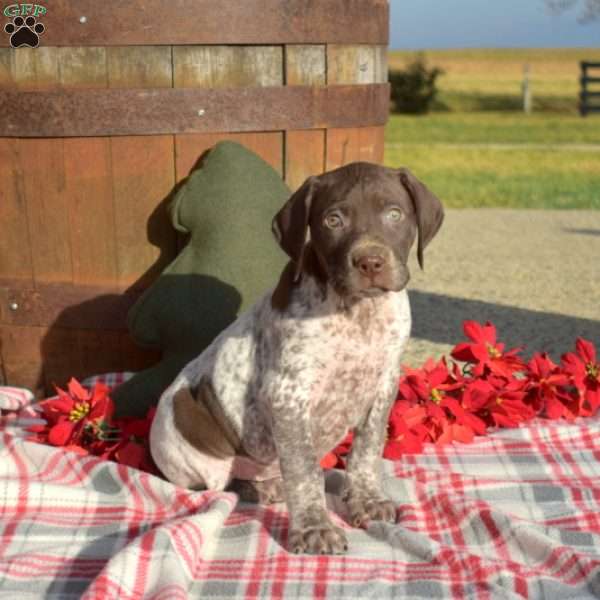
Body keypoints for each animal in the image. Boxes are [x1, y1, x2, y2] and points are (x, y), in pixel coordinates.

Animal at [149, 162, 442, 556]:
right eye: (333, 220)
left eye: (394, 214)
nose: (370, 262)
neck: (358, 312)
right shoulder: (289, 395)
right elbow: (305, 471)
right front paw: (315, 527)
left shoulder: (384, 384)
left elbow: (366, 450)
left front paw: (366, 499)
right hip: (185, 427)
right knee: (222, 484)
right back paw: (263, 489)